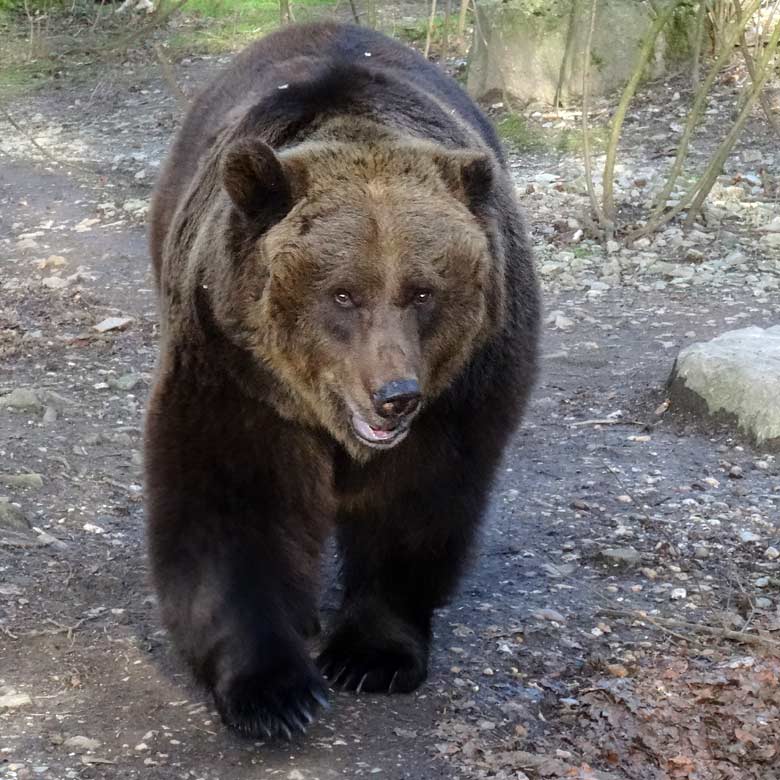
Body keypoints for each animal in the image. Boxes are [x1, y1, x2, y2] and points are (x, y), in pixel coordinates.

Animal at [145, 21, 536, 740]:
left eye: (422, 291)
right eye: (343, 294)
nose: (394, 397)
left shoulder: (463, 390)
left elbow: (417, 502)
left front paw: (371, 655)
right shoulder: (234, 368)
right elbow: (231, 498)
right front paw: (274, 692)